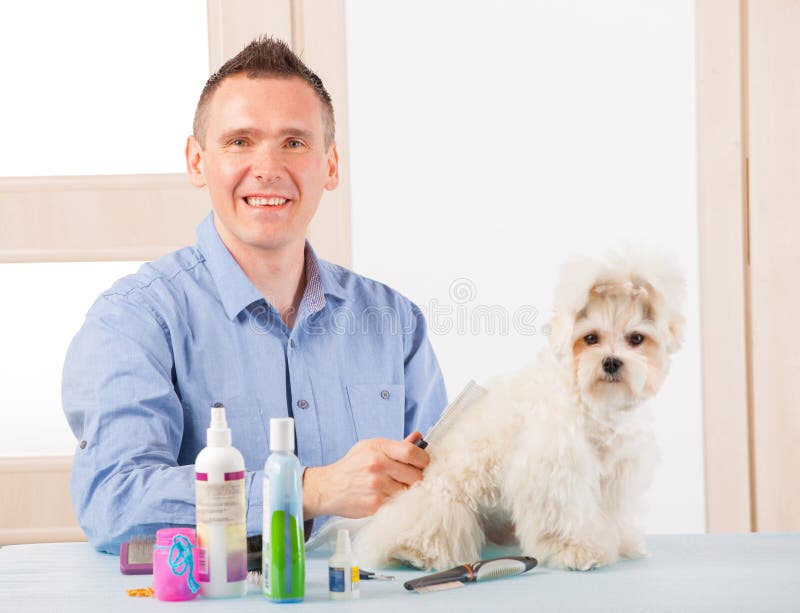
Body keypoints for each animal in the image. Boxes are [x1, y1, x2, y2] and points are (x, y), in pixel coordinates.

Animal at [356, 251, 688, 572]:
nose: (611, 362)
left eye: (636, 339)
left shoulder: (617, 474)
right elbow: (567, 516)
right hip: (444, 499)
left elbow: (611, 514)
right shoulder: (555, 469)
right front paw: (576, 550)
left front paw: (623, 542)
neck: (593, 405)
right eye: (591, 338)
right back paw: (414, 551)